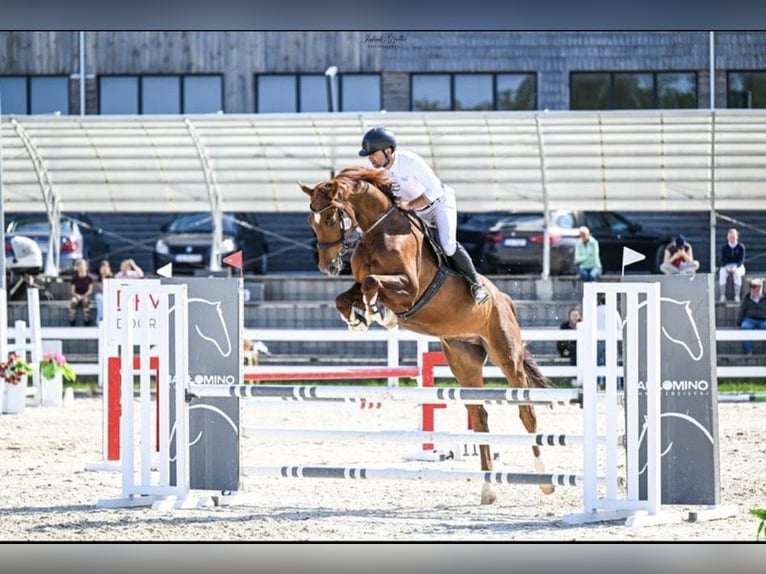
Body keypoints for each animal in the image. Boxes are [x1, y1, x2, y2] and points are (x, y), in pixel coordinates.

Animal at [296, 165, 556, 504]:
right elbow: (349, 294)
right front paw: (361, 318)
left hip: (507, 356)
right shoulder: (364, 282)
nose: (327, 267)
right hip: (463, 361)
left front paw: (378, 313)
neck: (378, 232)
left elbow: (372, 284)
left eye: (329, 218)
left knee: (526, 411)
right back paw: (488, 488)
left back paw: (544, 478)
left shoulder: (409, 288)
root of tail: (504, 299)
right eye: (309, 220)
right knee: (480, 416)